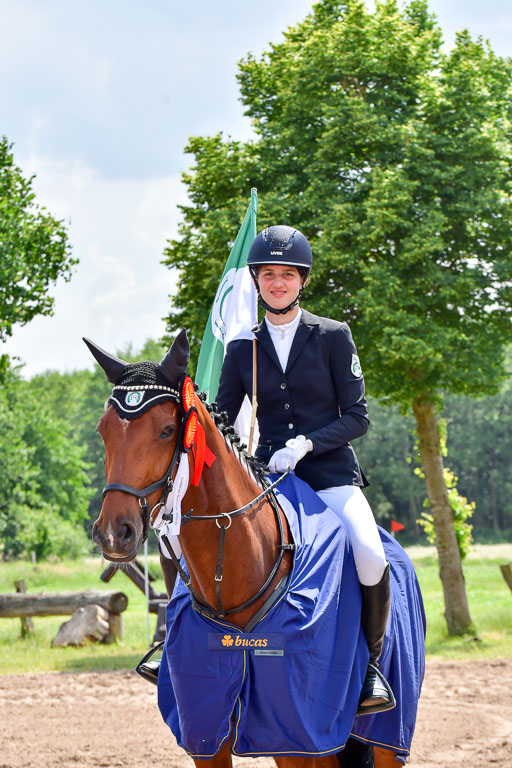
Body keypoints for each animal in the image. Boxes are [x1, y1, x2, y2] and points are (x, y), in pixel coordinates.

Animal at [85, 330, 424, 768]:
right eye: (103, 430)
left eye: (166, 430)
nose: (114, 533)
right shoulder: (204, 728)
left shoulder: (295, 733)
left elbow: (355, 412)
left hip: (381, 735)